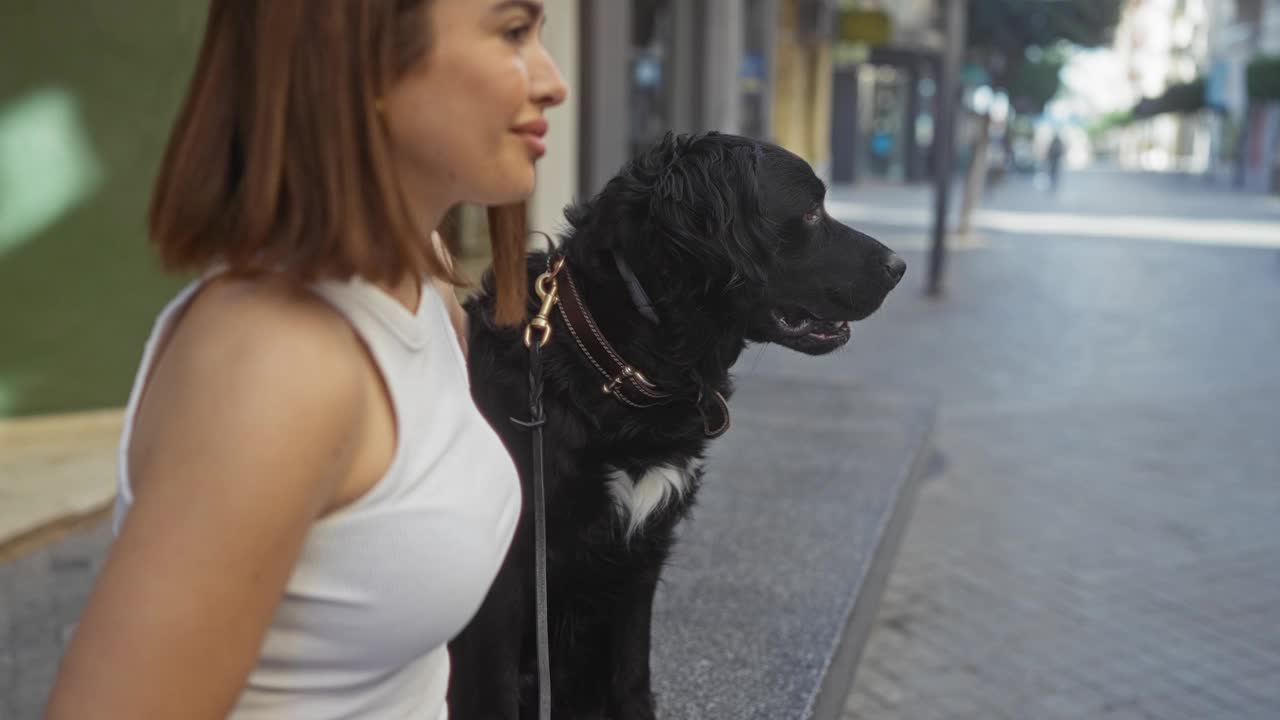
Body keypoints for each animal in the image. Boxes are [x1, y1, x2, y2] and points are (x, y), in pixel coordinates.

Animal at [448, 131, 901, 712]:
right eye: (811, 210)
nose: (900, 266)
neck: (612, 360)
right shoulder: (502, 574)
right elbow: (494, 693)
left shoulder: (642, 556)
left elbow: (632, 679)